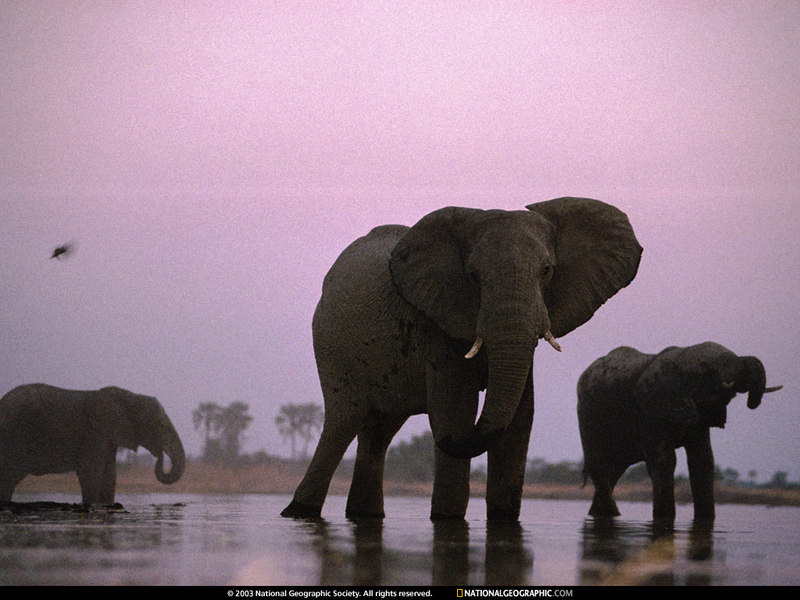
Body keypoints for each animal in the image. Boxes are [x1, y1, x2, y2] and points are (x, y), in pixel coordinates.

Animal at [0, 382, 186, 504]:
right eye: (162, 426)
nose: (160, 456)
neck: (130, 397)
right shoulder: (93, 433)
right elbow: (91, 472)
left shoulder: (107, 435)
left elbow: (110, 474)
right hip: (13, 436)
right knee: (8, 477)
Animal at [282, 197, 644, 520]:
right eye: (472, 276)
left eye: (546, 271)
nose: (438, 440)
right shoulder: (439, 320)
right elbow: (455, 409)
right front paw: (448, 519)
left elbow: (519, 419)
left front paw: (503, 519)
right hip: (332, 345)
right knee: (344, 421)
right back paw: (299, 512)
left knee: (378, 432)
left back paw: (365, 514)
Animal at [580, 344, 784, 524]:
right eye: (705, 369)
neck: (681, 356)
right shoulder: (650, 409)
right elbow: (664, 460)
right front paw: (664, 519)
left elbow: (703, 460)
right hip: (588, 414)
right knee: (599, 464)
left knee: (616, 469)